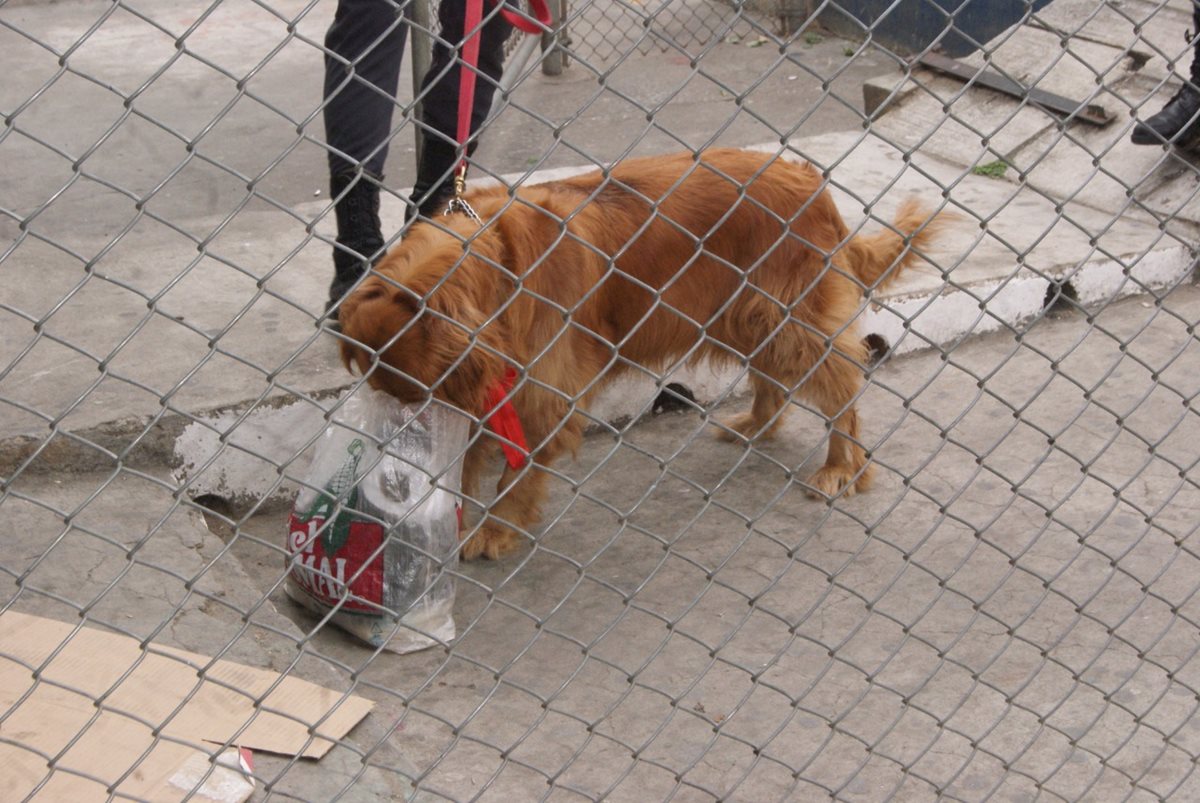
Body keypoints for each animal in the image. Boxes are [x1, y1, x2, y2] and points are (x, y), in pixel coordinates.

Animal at [336, 150, 936, 561]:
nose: (401, 435)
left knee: (842, 391)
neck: (497, 262)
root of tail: (811, 181)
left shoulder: (541, 395)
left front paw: (495, 528)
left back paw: (842, 466)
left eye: (414, 391)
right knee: (774, 380)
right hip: (745, 314)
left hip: (790, 319)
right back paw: (756, 426)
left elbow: (516, 474)